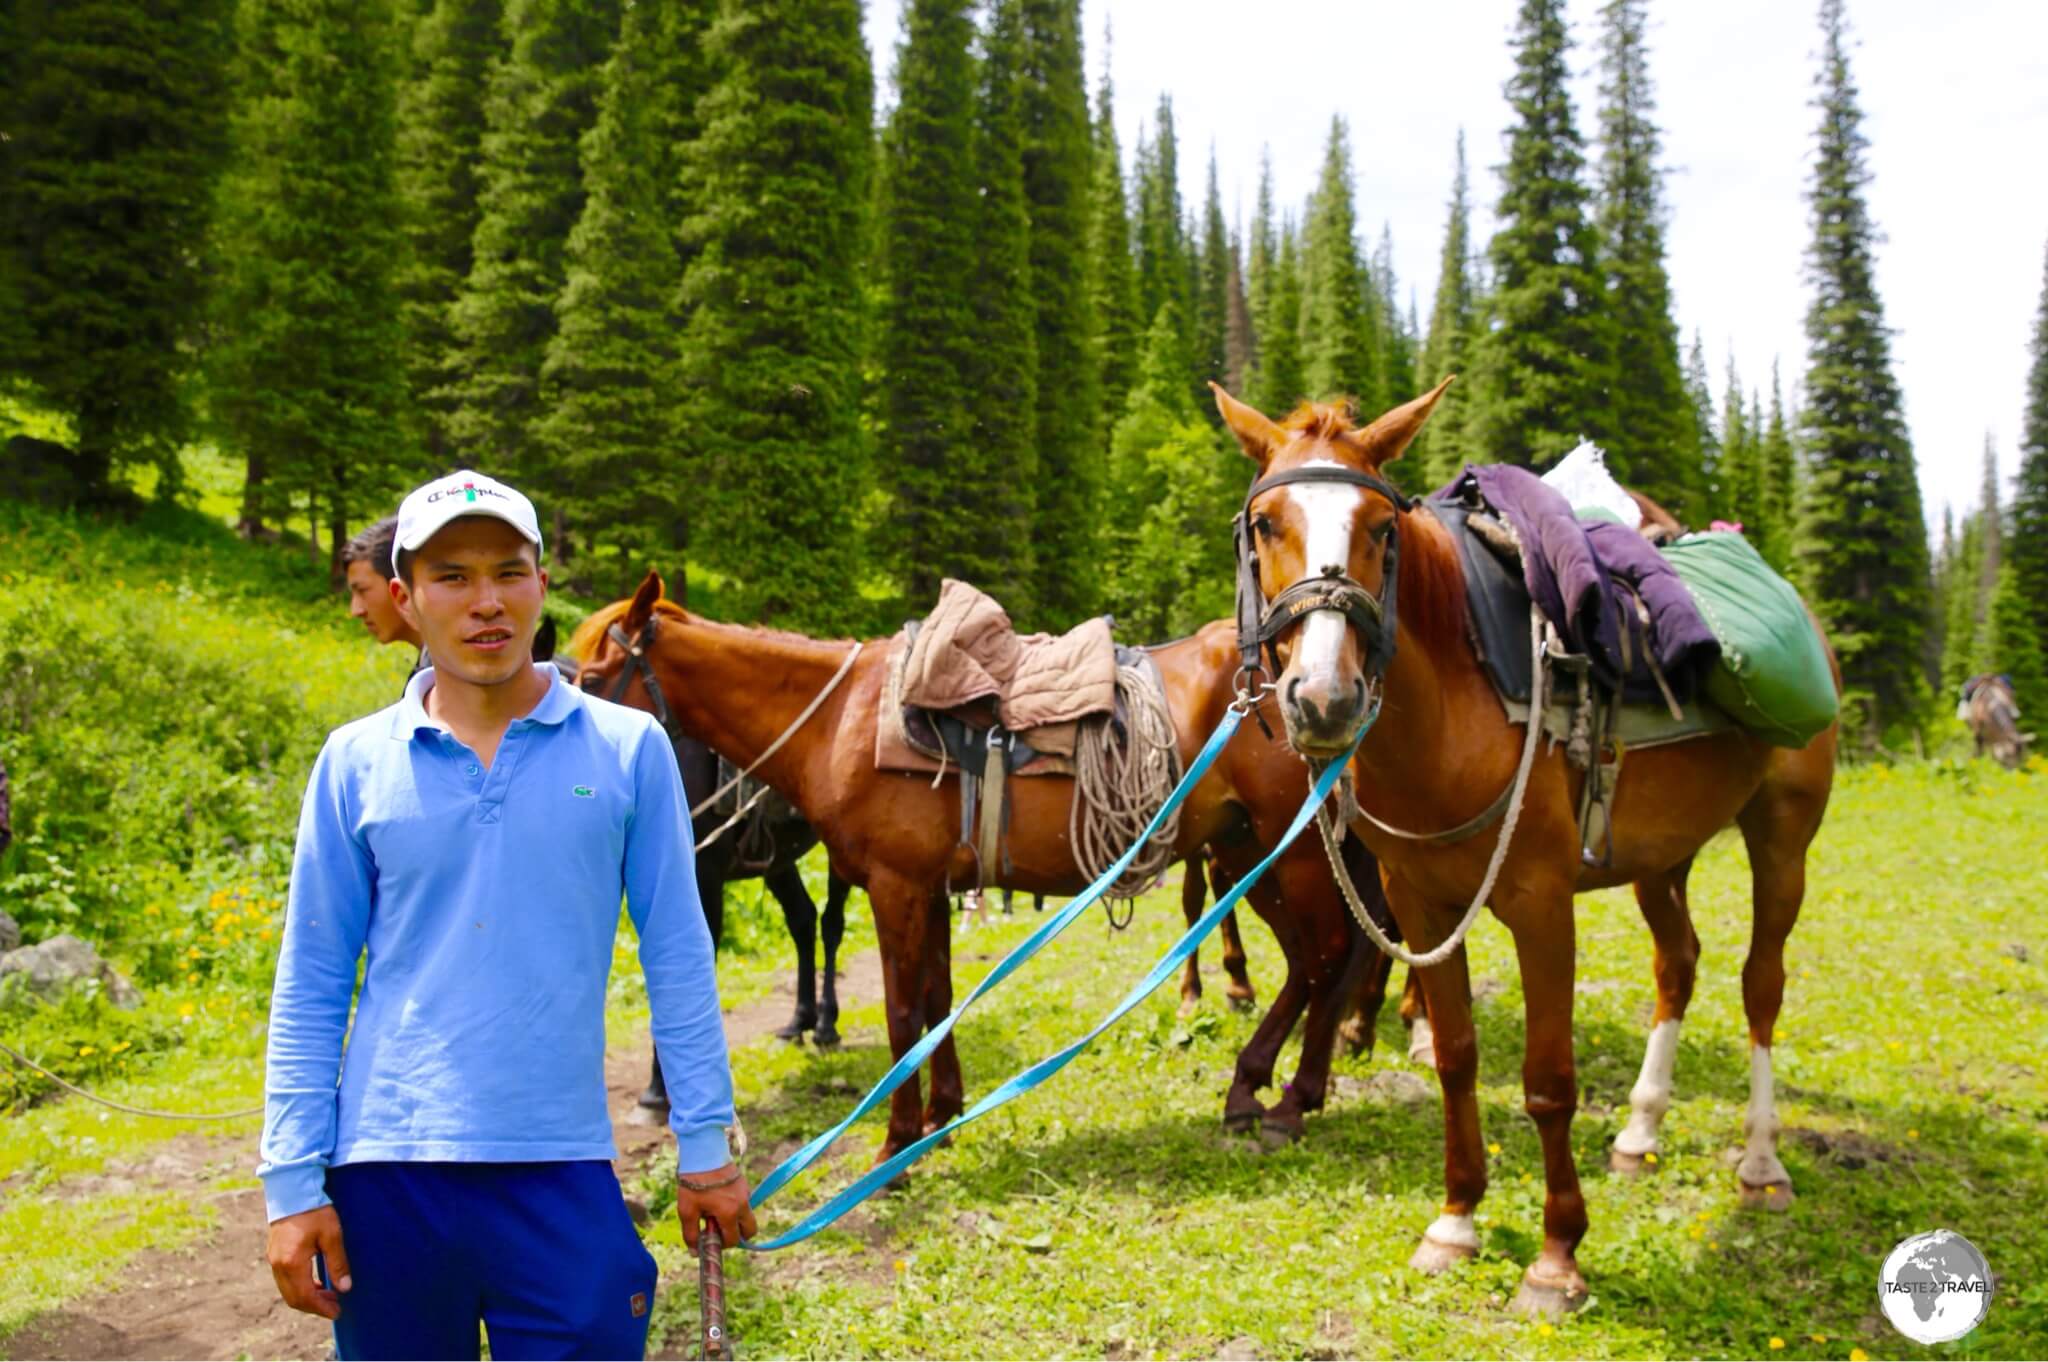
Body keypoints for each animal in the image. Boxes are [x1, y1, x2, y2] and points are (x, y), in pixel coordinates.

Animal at [1212, 376, 1843, 1310]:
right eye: (1264, 524)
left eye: (1382, 528)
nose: (1324, 698)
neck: (1454, 710)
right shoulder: (1422, 904)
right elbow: (1457, 1056)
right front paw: (1456, 1219)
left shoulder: (1544, 906)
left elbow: (1548, 1080)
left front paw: (1557, 1256)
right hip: (1662, 855)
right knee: (1678, 965)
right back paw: (1641, 1129)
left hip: (1782, 834)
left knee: (1761, 985)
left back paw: (1761, 1164)